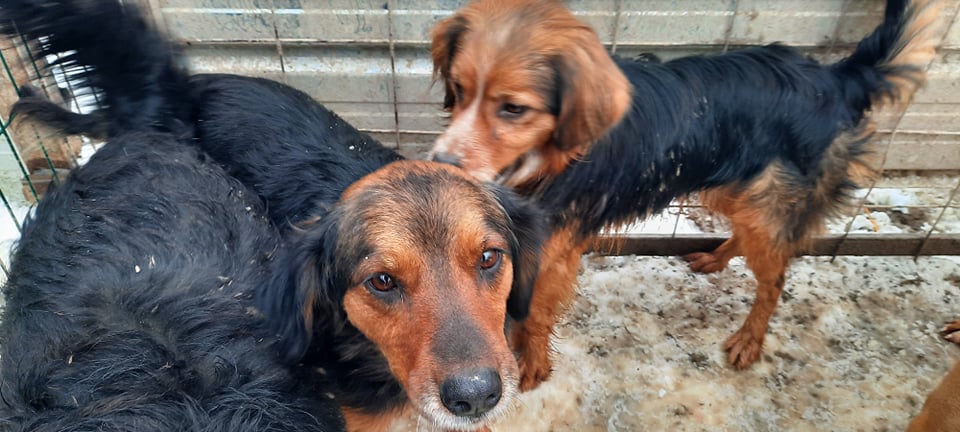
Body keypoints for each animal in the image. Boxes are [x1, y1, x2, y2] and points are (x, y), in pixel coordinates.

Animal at [432, 0, 940, 388]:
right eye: (458, 89)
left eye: (514, 108)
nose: (441, 162)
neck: (544, 157)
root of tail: (836, 78)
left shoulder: (556, 250)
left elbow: (535, 313)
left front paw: (531, 363)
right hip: (733, 189)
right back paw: (716, 258)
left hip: (768, 202)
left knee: (775, 279)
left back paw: (750, 340)